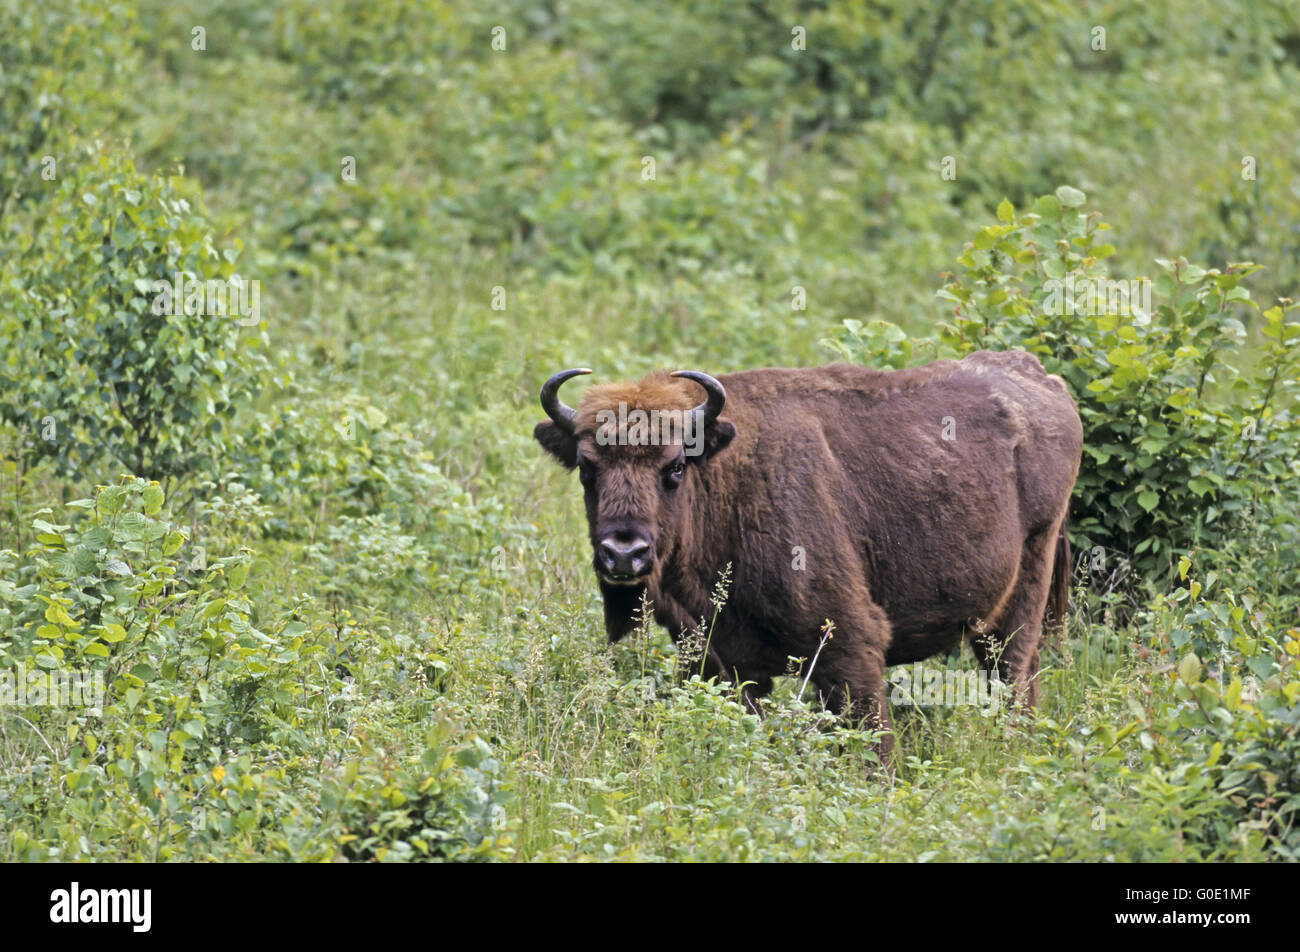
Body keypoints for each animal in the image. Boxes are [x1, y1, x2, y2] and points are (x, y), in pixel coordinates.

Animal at [533, 348, 1081, 759]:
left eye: (674, 467)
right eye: (587, 468)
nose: (623, 553)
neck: (726, 479)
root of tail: (1044, 380)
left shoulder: (850, 648)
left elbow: (873, 745)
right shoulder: (725, 665)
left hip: (1019, 599)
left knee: (1013, 677)